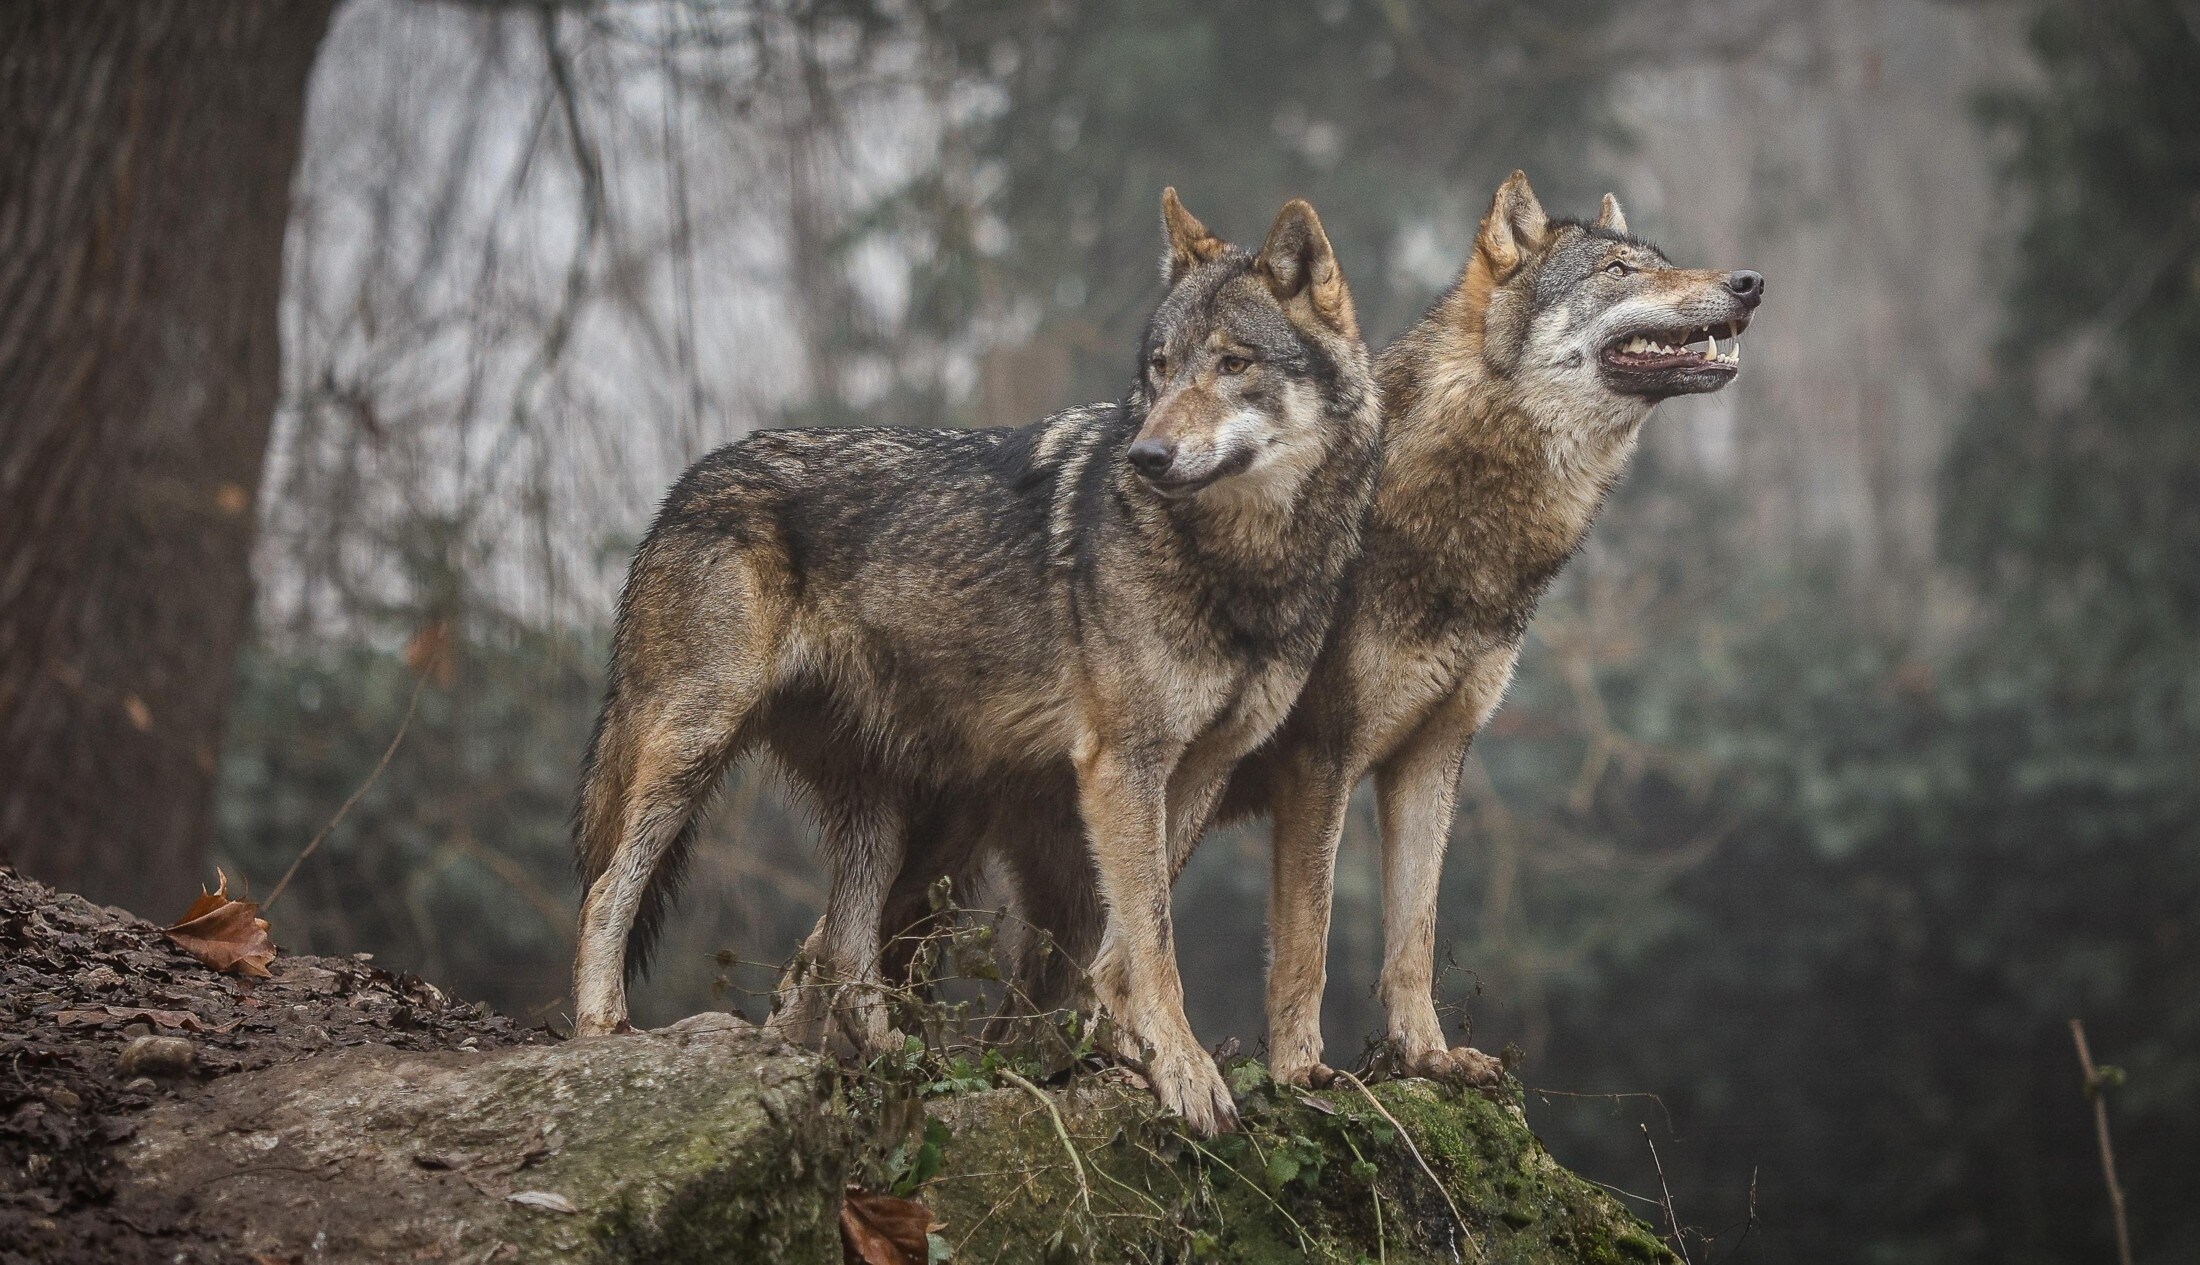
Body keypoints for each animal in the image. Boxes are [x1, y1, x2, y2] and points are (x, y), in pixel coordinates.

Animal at [576, 188, 1381, 1135]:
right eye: (1161, 366)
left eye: (1231, 363)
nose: (1146, 455)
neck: (1244, 569)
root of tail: (685, 483)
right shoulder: (1121, 764)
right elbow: (1153, 940)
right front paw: (1182, 1070)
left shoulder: (1197, 769)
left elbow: (1127, 938)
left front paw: (1127, 1046)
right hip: (697, 747)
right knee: (608, 891)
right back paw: (603, 1027)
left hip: (885, 807)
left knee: (842, 944)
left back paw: (895, 1060)